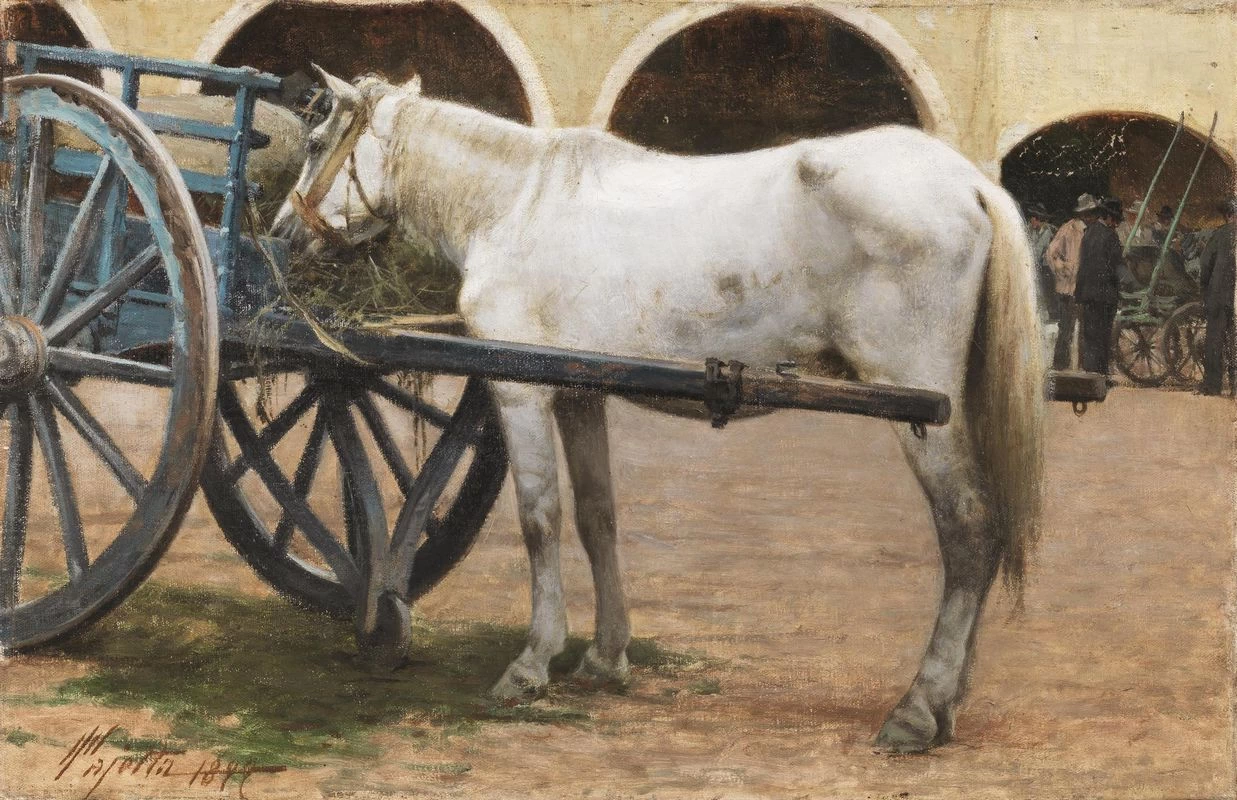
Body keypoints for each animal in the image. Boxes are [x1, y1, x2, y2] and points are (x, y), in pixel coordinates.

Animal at [271, 69, 1046, 754]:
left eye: (317, 141)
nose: (282, 234)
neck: (514, 203)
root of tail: (973, 183)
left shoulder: (522, 393)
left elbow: (539, 520)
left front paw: (532, 662)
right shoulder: (579, 393)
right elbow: (596, 516)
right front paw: (604, 657)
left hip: (923, 413)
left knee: (968, 530)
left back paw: (917, 709)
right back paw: (948, 703)